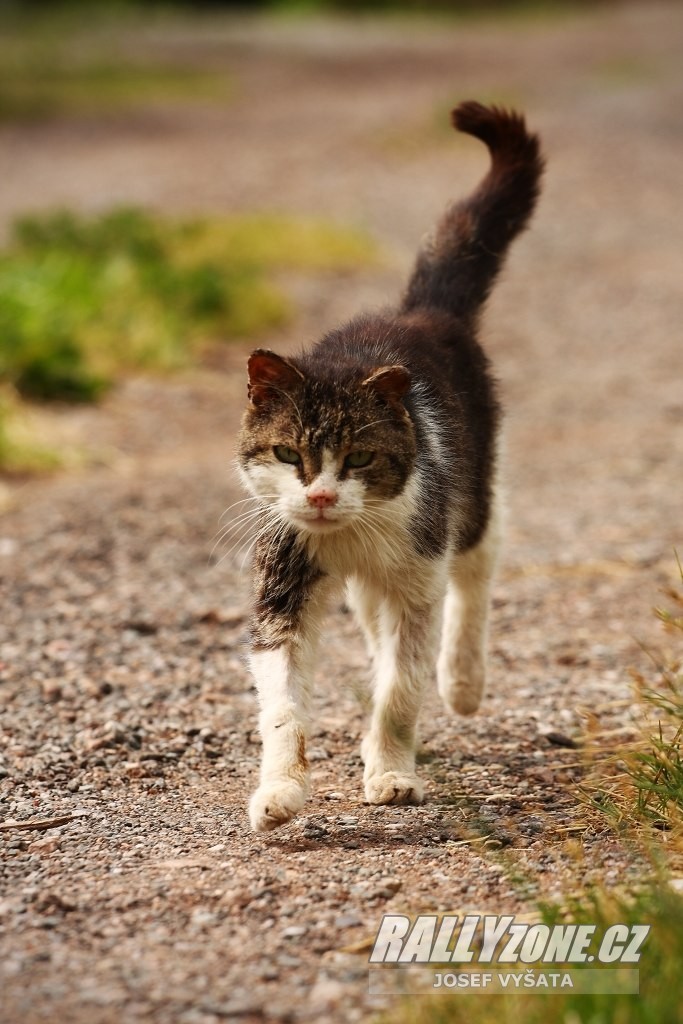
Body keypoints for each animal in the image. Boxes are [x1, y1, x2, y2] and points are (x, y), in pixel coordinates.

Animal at [235, 99, 544, 831]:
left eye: (360, 456)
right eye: (287, 453)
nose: (320, 496)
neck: (346, 534)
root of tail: (420, 311)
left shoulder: (418, 570)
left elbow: (401, 688)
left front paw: (393, 774)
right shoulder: (282, 583)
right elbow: (283, 703)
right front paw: (280, 792)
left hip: (467, 498)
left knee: (477, 568)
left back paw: (462, 680)